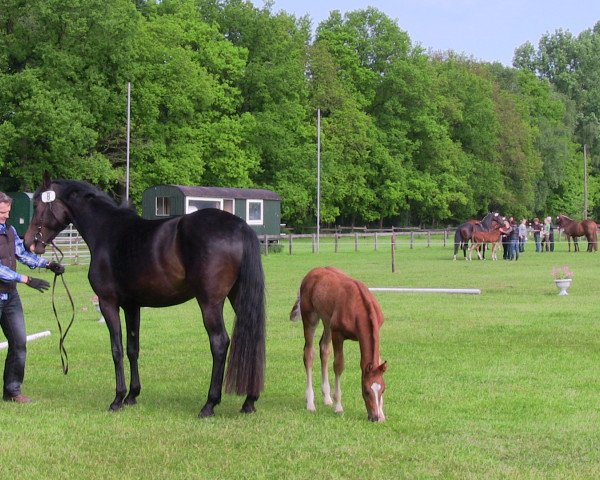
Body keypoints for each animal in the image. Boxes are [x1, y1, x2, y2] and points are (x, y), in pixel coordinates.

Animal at [24, 175, 264, 416]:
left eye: (38, 205)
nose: (28, 243)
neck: (106, 231)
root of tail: (240, 226)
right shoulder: (132, 306)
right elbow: (132, 349)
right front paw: (132, 395)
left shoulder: (108, 303)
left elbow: (117, 349)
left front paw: (117, 399)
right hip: (237, 297)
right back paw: (249, 401)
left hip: (210, 303)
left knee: (219, 343)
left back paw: (209, 404)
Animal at [290, 268, 390, 422]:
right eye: (366, 391)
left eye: (383, 389)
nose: (374, 417)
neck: (359, 308)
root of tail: (310, 273)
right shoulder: (338, 334)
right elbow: (338, 366)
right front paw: (338, 406)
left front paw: (382, 414)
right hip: (310, 318)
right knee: (309, 354)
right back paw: (311, 403)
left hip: (327, 322)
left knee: (324, 349)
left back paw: (327, 398)